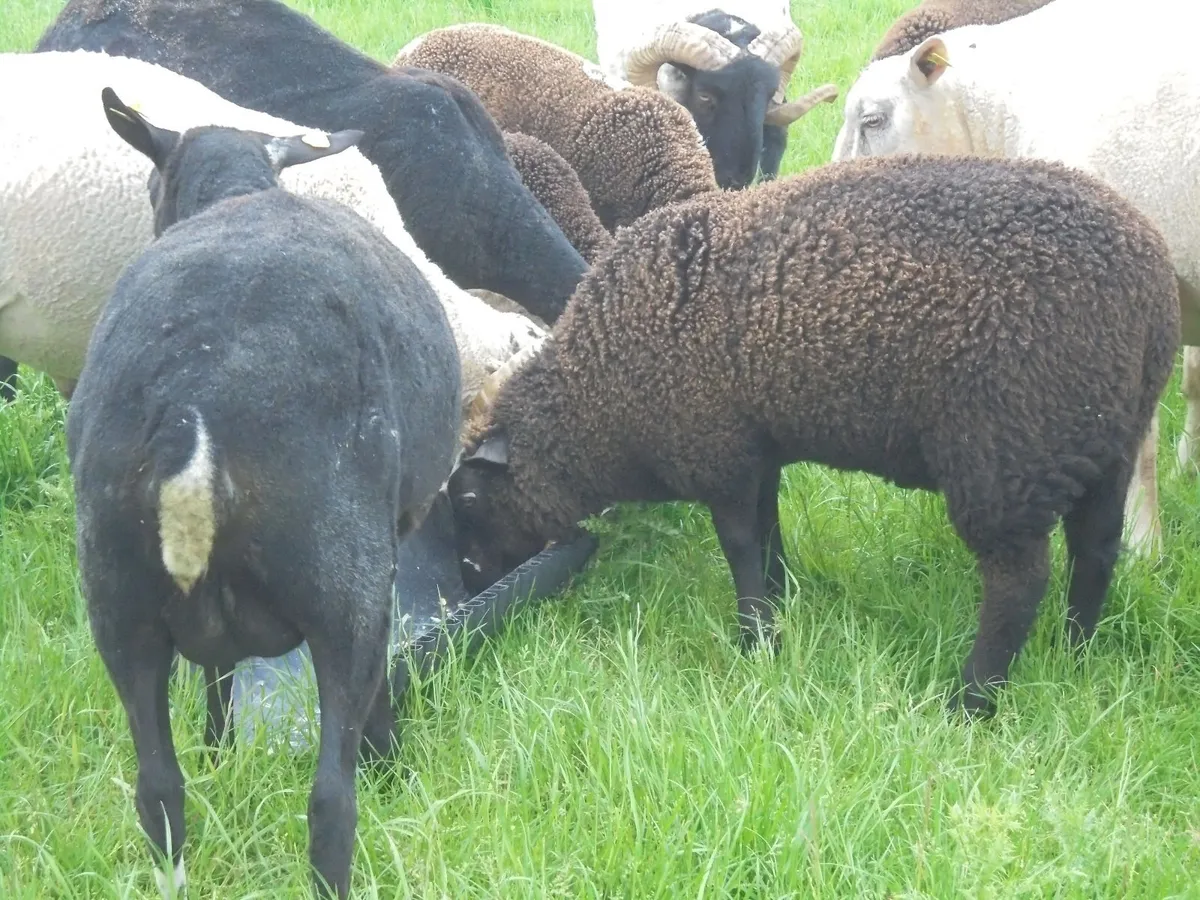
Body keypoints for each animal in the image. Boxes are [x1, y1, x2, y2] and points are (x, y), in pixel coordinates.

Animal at [69, 87, 462, 900]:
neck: (238, 191)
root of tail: (193, 410)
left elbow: (217, 671)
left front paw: (219, 749)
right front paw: (392, 763)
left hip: (118, 599)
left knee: (158, 791)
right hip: (343, 579)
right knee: (332, 801)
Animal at [446, 154, 1180, 719]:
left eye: (472, 500)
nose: (470, 578)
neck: (598, 392)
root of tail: (1149, 289)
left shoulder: (716, 451)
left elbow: (741, 547)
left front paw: (756, 640)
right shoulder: (756, 450)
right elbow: (769, 534)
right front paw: (784, 604)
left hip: (1007, 451)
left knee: (1018, 583)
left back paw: (971, 702)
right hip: (1102, 439)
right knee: (1097, 550)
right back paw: (1075, 653)